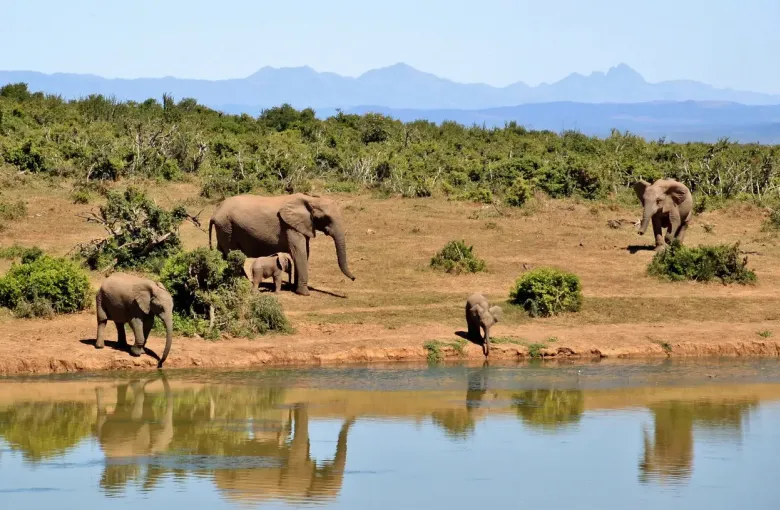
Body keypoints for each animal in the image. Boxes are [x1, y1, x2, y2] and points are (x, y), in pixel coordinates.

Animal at [209, 193, 356, 296]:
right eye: (326, 218)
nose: (354, 278)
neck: (311, 199)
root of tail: (215, 212)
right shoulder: (290, 226)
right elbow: (299, 253)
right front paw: (304, 293)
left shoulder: (301, 226)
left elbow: (305, 253)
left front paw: (295, 288)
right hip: (227, 227)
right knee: (232, 254)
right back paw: (243, 283)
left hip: (223, 228)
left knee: (222, 253)